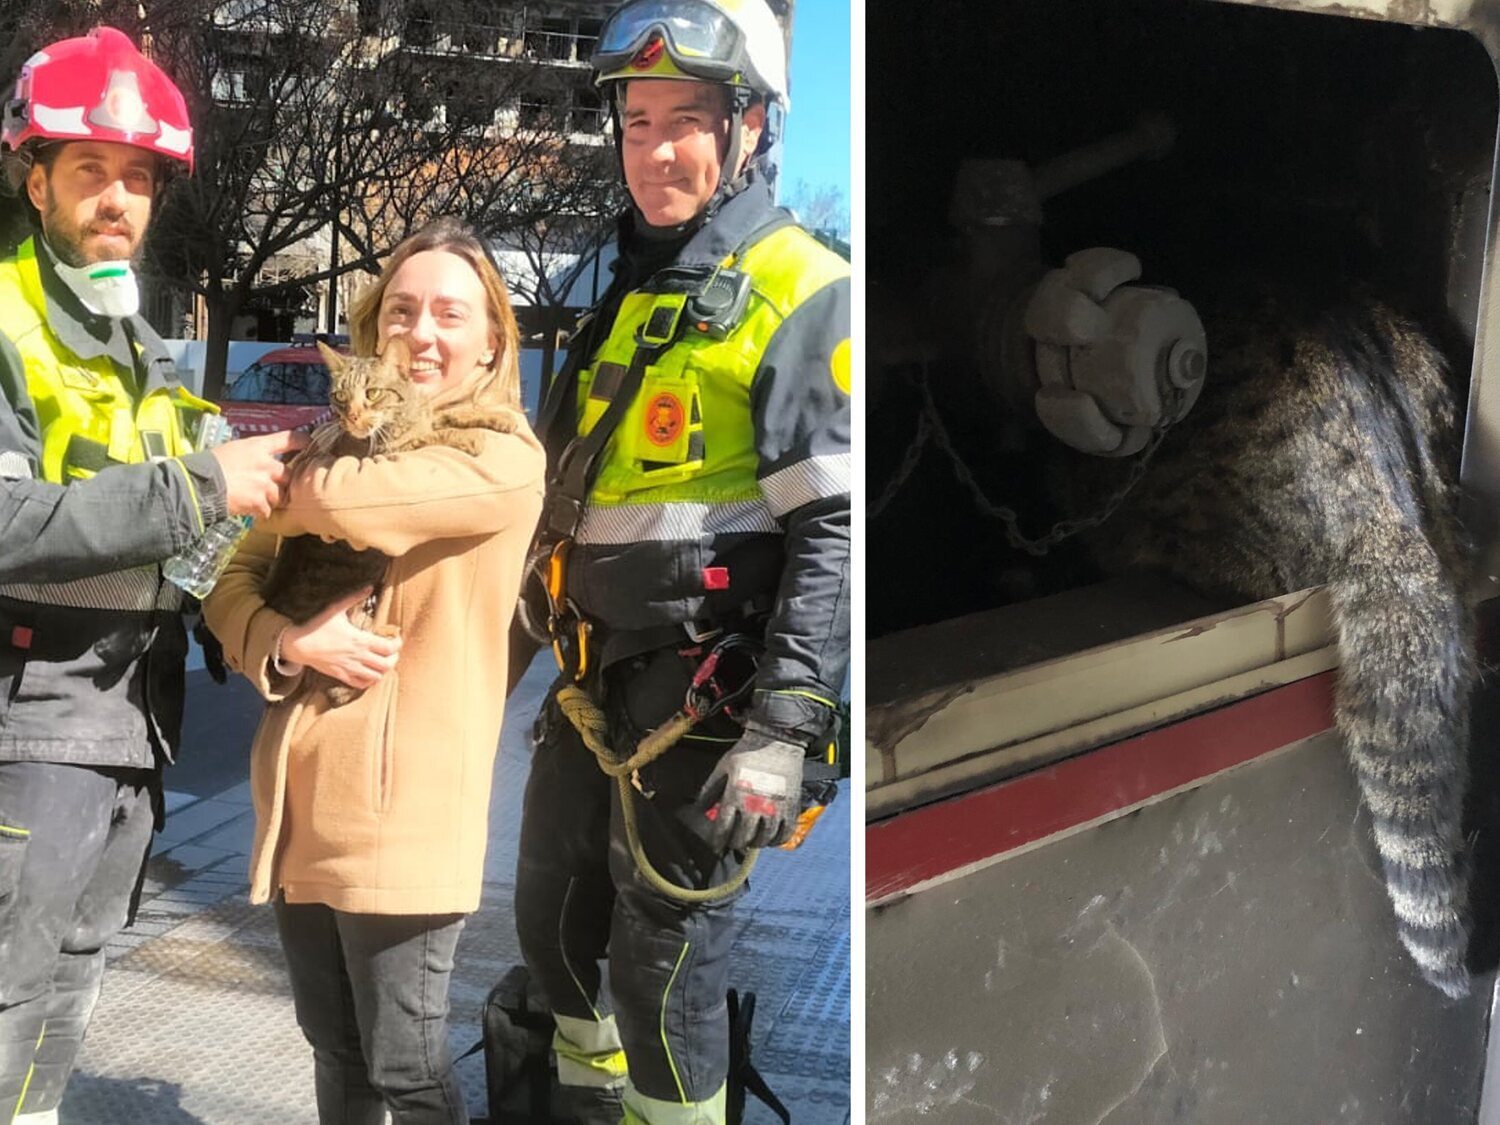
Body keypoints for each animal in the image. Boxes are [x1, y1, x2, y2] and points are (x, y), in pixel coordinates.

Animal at [258, 334, 516, 705]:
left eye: (373, 392)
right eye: (339, 396)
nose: (351, 416)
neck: (398, 416)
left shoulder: (422, 418)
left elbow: (443, 415)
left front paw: (493, 416)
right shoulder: (388, 455)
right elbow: (428, 436)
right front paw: (467, 436)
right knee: (340, 686)